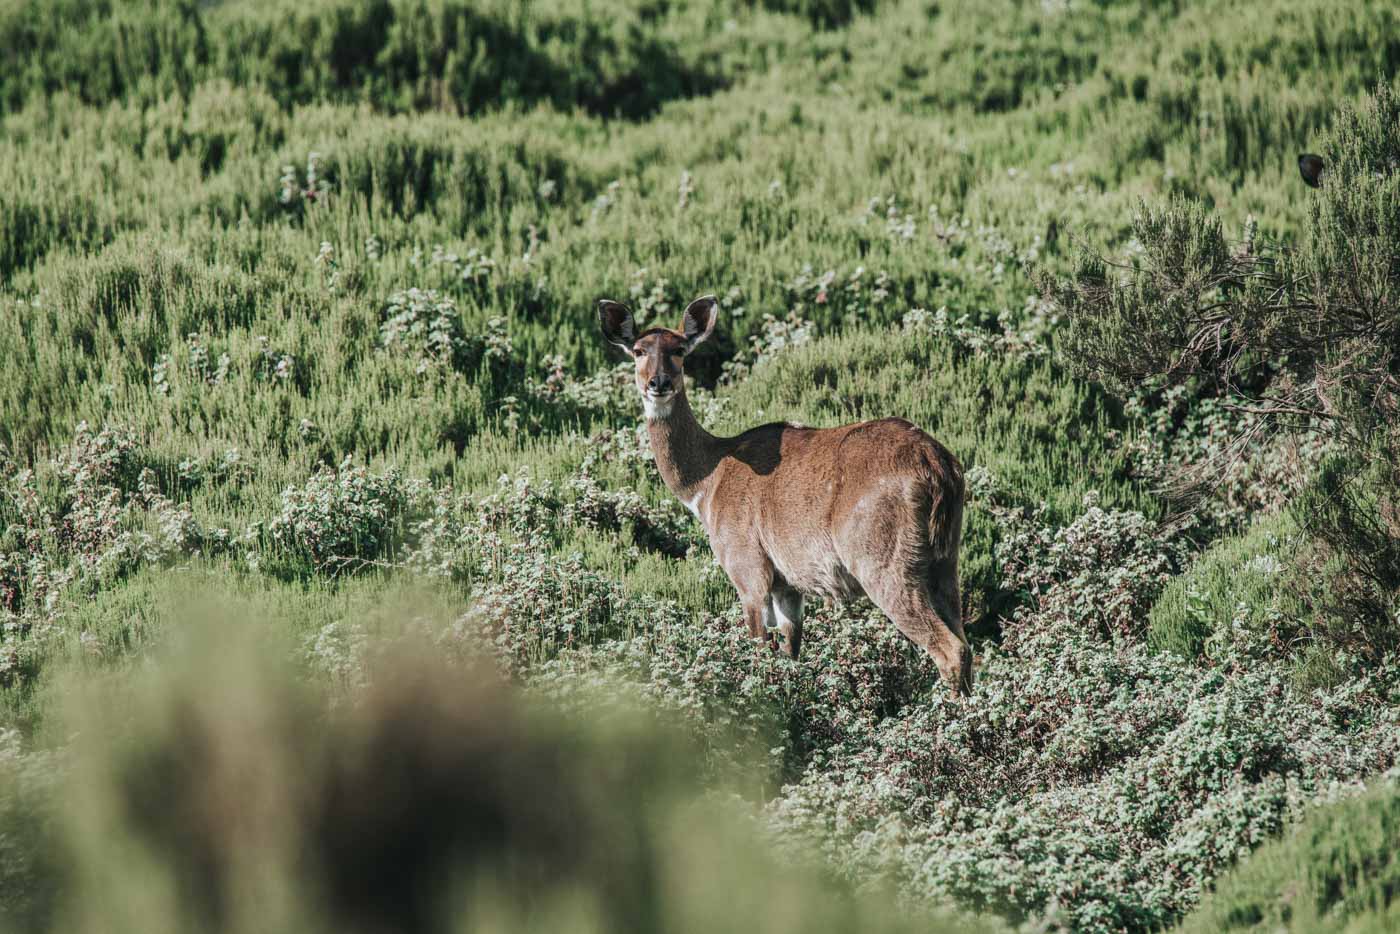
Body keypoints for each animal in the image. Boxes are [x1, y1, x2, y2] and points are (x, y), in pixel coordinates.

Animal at [593, 295, 974, 697]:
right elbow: (792, 652)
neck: (708, 482)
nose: (659, 382)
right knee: (965, 641)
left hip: (883, 562)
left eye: (679, 349)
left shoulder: (747, 568)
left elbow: (759, 648)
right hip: (944, 560)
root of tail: (938, 466)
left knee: (949, 648)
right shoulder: (788, 584)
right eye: (638, 350)